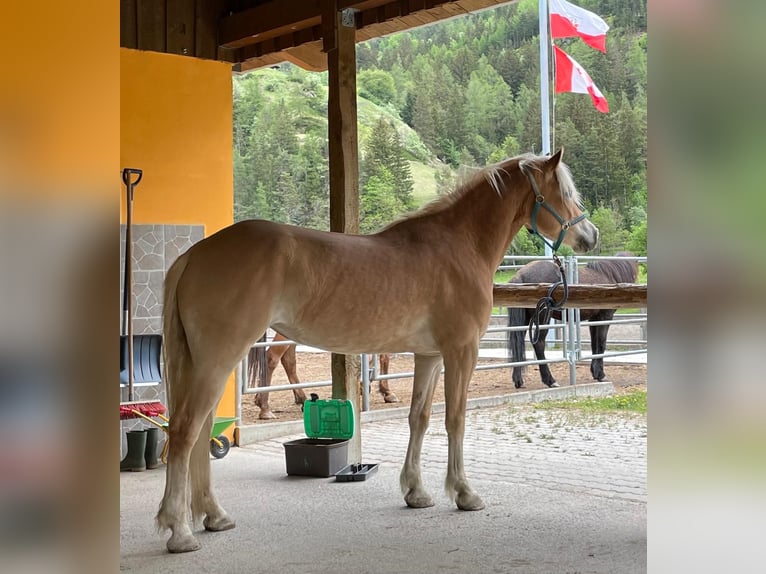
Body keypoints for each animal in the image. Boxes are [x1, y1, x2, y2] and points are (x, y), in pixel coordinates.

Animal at [252, 330, 400, 420]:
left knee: (288, 360)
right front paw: (386, 392)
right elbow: (383, 356)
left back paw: (301, 399)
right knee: (271, 358)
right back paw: (265, 408)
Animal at [508, 254, 640, 390]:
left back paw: (518, 380)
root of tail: (520, 275)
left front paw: (595, 373)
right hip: (543, 318)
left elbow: (595, 344)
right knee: (539, 343)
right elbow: (601, 344)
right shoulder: (605, 316)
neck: (609, 276)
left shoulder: (594, 319)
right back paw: (550, 380)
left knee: (518, 342)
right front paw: (601, 375)